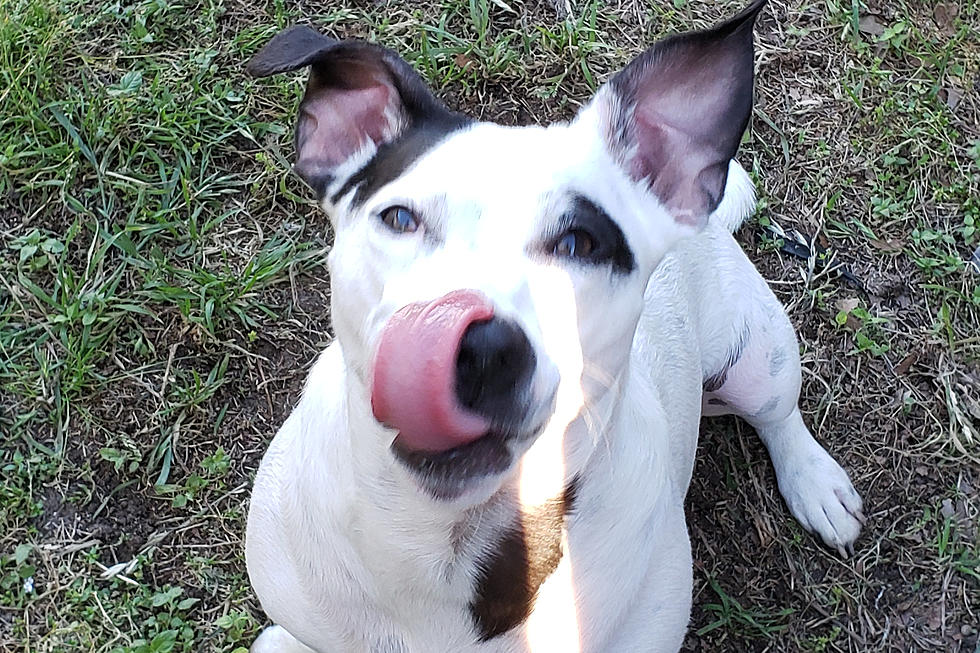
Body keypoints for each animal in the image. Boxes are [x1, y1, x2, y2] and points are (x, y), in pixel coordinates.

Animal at [245, 2, 864, 648]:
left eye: (579, 242)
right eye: (398, 218)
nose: (480, 348)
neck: (449, 540)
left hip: (757, 357)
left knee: (778, 414)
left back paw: (815, 483)